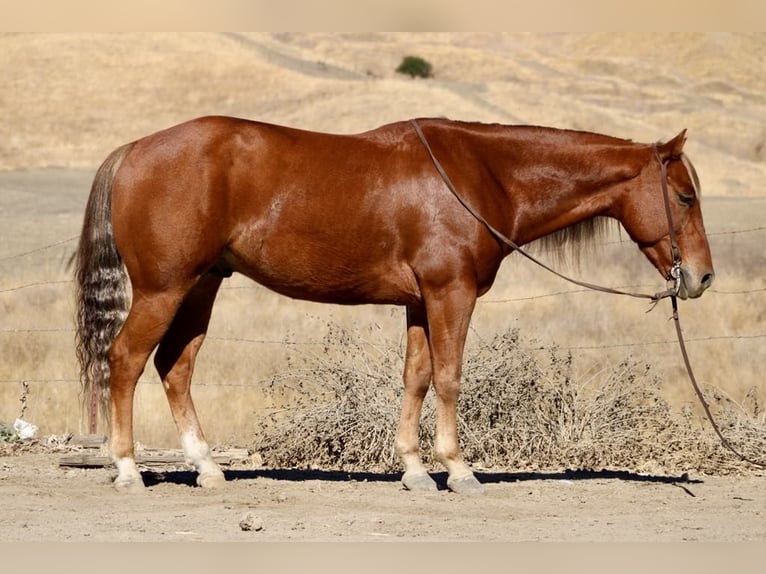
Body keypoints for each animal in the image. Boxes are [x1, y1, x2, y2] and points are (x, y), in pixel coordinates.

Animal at [74, 116, 714, 494]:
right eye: (684, 196)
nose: (701, 277)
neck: (484, 175)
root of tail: (134, 149)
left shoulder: (420, 303)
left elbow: (416, 378)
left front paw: (413, 469)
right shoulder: (450, 293)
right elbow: (451, 377)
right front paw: (458, 469)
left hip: (201, 285)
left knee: (174, 366)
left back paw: (207, 469)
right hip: (164, 289)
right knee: (127, 360)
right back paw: (127, 469)